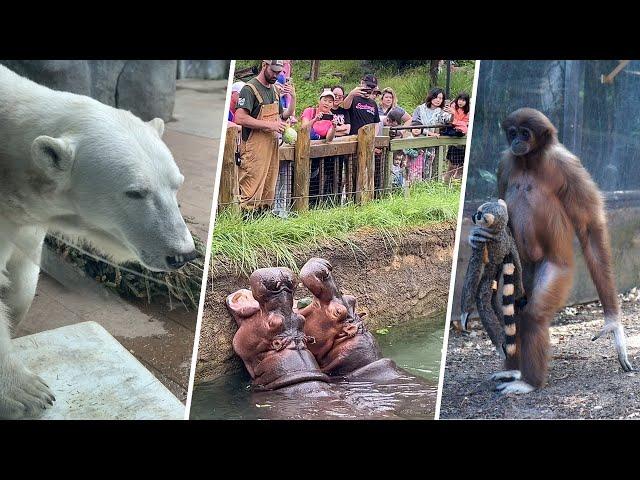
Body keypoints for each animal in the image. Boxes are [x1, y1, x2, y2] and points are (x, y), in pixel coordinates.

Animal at [0, 64, 196, 420]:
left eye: (177, 184)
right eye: (135, 192)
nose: (183, 254)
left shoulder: (23, 218)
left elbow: (22, 275)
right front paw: (26, 392)